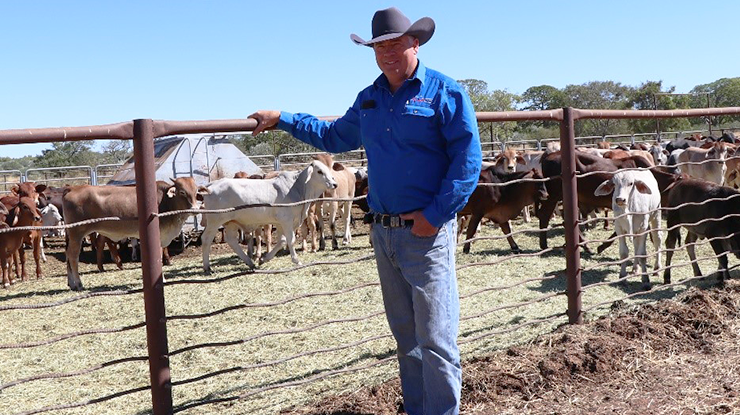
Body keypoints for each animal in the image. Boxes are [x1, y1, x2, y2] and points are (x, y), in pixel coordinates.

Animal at [197, 159, 336, 272]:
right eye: (319, 171)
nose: (334, 184)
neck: (298, 188)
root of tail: (211, 186)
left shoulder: (282, 223)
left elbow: (282, 240)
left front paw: (263, 259)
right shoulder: (286, 220)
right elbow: (291, 240)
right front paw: (296, 260)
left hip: (231, 222)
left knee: (231, 240)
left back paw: (250, 262)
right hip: (215, 221)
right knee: (206, 239)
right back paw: (207, 267)